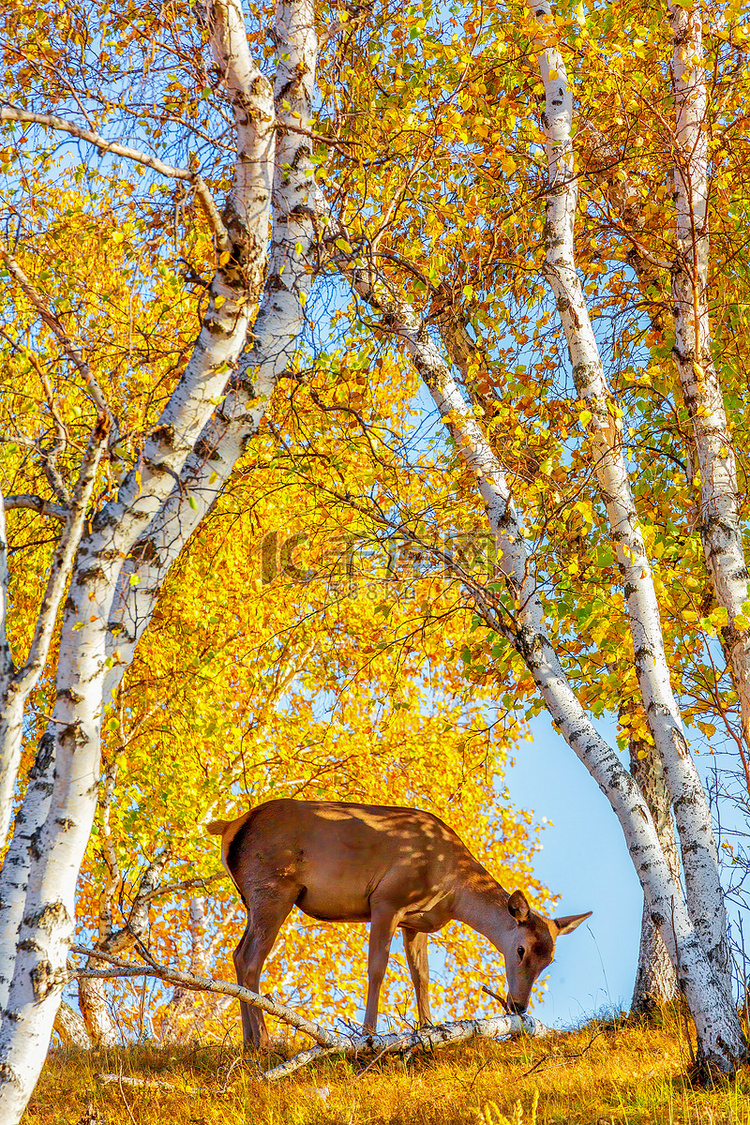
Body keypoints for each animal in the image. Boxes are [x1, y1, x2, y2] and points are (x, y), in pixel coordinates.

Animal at [206, 801, 593, 1044]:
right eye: (521, 949)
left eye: (550, 959)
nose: (518, 1006)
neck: (451, 890)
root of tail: (229, 827)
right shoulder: (386, 900)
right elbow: (376, 968)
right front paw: (368, 1035)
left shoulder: (415, 923)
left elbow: (420, 976)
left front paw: (429, 1029)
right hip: (274, 888)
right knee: (250, 958)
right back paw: (264, 1042)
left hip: (253, 897)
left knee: (237, 954)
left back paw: (249, 1044)